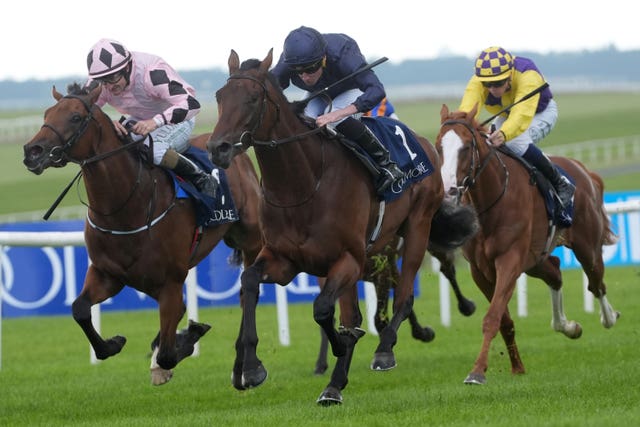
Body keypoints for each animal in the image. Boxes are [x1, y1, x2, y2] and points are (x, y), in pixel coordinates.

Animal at [22, 84, 262, 388]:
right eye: (46, 114)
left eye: (75, 117)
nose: (32, 151)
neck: (127, 205)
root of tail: (233, 149)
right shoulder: (107, 274)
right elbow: (80, 309)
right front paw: (113, 343)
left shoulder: (171, 282)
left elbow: (169, 354)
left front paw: (185, 340)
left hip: (252, 240)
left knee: (246, 294)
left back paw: (243, 368)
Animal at [205, 50, 476, 404]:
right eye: (220, 97)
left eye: (252, 98)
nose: (218, 148)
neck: (302, 186)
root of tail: (423, 142)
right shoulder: (285, 260)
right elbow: (250, 282)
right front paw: (250, 368)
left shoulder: (348, 259)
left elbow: (324, 311)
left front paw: (344, 346)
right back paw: (334, 386)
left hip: (417, 228)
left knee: (403, 296)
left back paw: (384, 350)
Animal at [436, 105, 620, 386]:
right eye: (438, 147)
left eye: (466, 147)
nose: (449, 191)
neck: (490, 203)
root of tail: (584, 171)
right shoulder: (480, 270)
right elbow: (503, 320)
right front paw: (517, 367)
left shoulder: (509, 260)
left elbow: (492, 317)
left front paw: (477, 372)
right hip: (535, 259)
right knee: (555, 272)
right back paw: (567, 326)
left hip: (586, 248)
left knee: (596, 283)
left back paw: (609, 317)